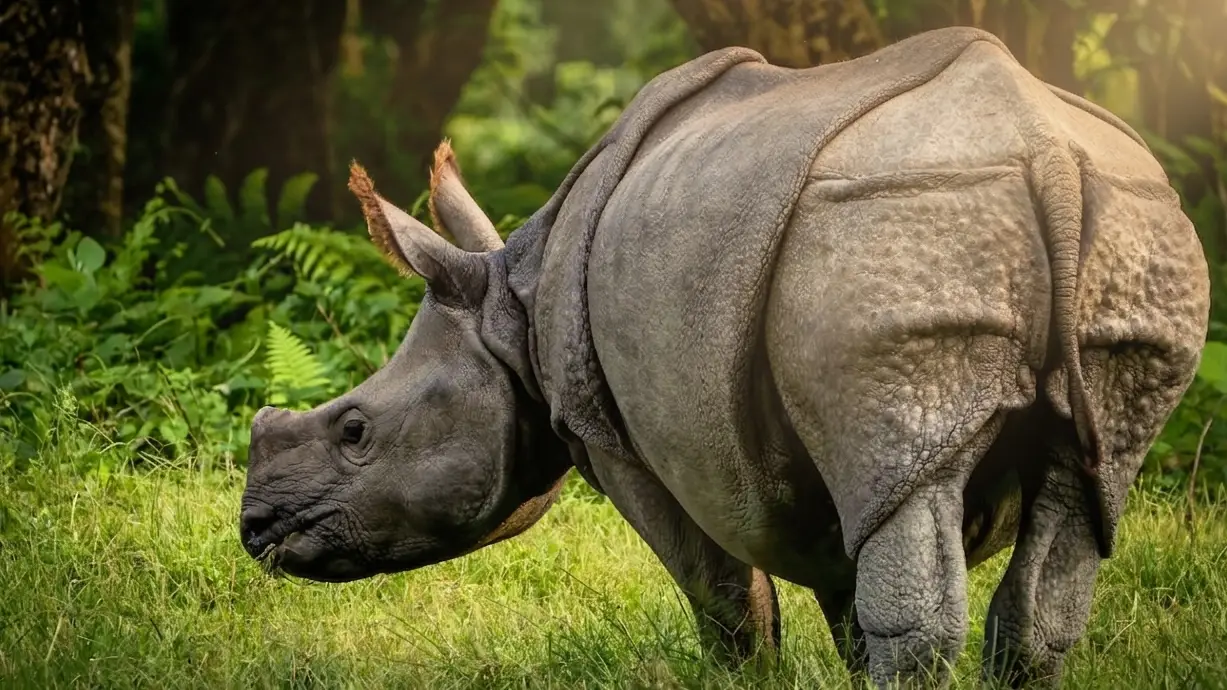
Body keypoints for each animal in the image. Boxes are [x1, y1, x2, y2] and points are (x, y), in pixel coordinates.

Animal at [239, 26, 1210, 688]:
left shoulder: (611, 434)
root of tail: (1045, 153)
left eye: (355, 431)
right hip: (1126, 229)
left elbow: (726, 599)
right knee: (1079, 498)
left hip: (893, 224)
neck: (507, 307)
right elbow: (844, 596)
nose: (256, 531)